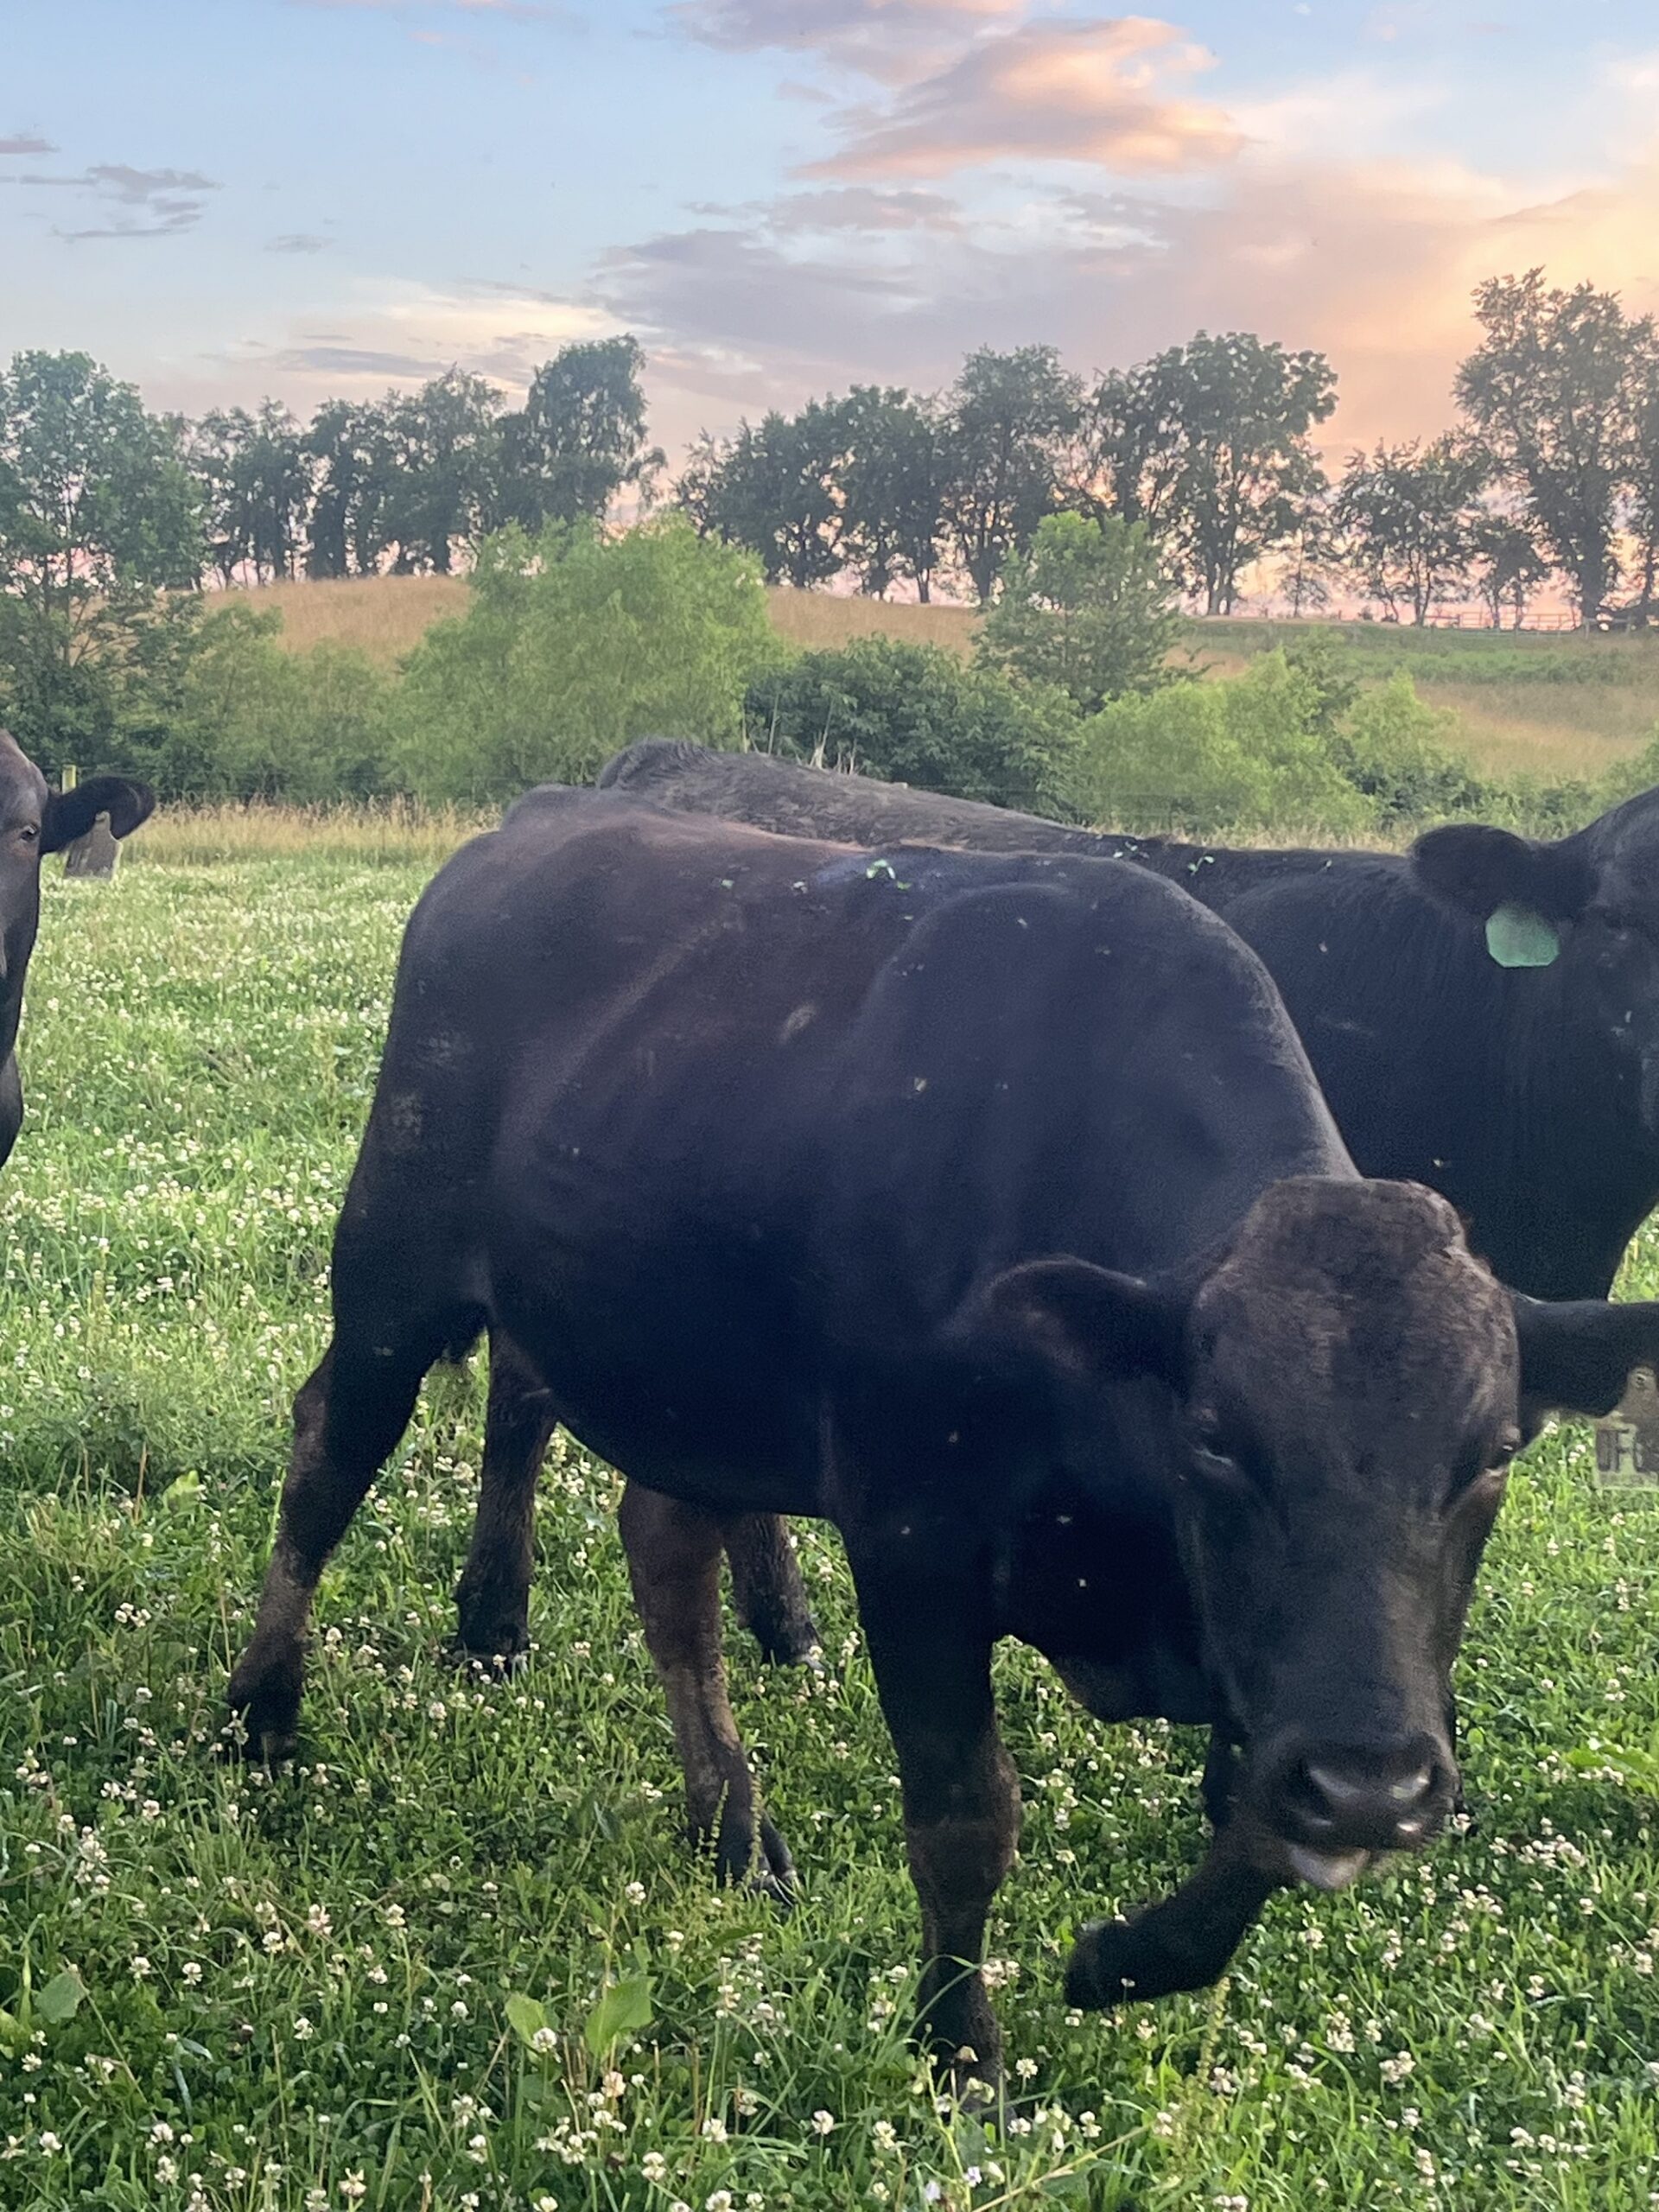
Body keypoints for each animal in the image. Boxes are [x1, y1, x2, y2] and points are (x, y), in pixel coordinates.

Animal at [227, 790, 1659, 2087]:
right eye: (1217, 1441)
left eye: (1490, 1455)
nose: (1379, 1788)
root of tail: (536, 818)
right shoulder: (914, 1543)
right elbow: (968, 1817)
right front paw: (960, 2048)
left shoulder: (1288, 1665)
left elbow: (1256, 1822)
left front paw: (1123, 1960)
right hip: (394, 1265)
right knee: (333, 1452)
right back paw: (263, 1706)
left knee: (663, 1553)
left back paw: (730, 1824)